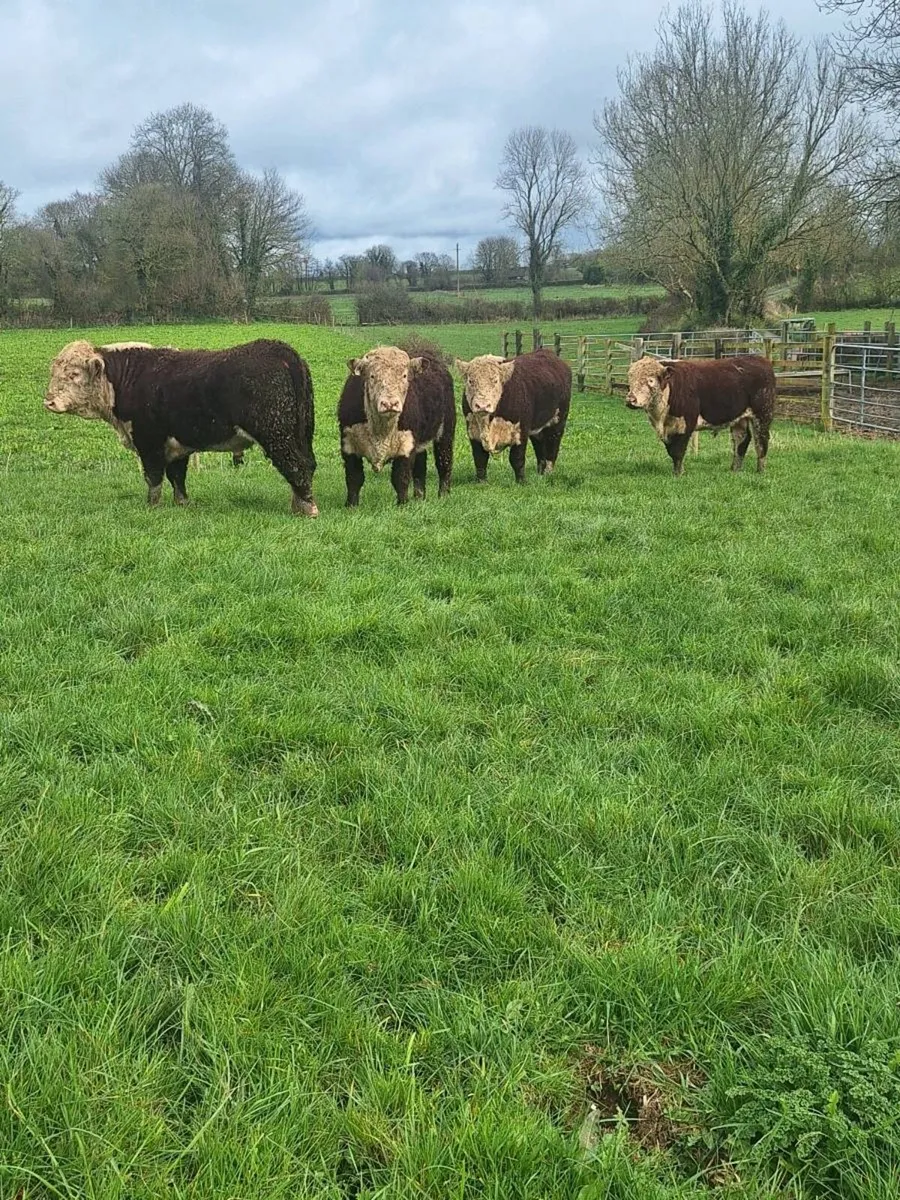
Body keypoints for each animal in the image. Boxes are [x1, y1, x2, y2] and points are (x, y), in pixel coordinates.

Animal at [44, 338, 318, 515]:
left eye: (74, 374)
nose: (48, 401)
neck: (126, 378)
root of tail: (281, 350)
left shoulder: (149, 442)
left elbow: (153, 477)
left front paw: (152, 506)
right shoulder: (178, 445)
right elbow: (177, 476)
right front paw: (182, 503)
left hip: (276, 434)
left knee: (296, 466)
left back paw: (307, 509)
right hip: (301, 433)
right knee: (307, 464)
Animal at [338, 345, 455, 506]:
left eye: (404, 376)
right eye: (372, 376)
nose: (390, 404)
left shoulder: (406, 445)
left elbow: (401, 477)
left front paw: (402, 504)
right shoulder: (348, 444)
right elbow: (354, 478)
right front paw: (351, 505)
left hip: (446, 430)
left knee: (444, 462)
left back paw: (443, 495)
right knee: (421, 465)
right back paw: (419, 498)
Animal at [454, 348, 571, 483]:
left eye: (495, 381)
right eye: (470, 381)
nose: (482, 405)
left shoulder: (521, 431)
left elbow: (517, 458)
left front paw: (521, 481)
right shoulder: (473, 432)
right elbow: (480, 458)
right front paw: (481, 482)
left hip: (558, 421)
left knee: (553, 445)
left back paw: (548, 473)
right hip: (538, 428)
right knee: (539, 447)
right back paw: (540, 474)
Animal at [625, 354, 775, 476]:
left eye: (650, 380)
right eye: (630, 378)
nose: (631, 399)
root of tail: (762, 360)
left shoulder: (685, 424)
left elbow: (678, 451)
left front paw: (678, 474)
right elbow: (671, 451)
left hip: (763, 414)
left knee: (761, 442)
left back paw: (760, 471)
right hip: (739, 417)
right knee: (741, 439)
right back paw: (735, 469)